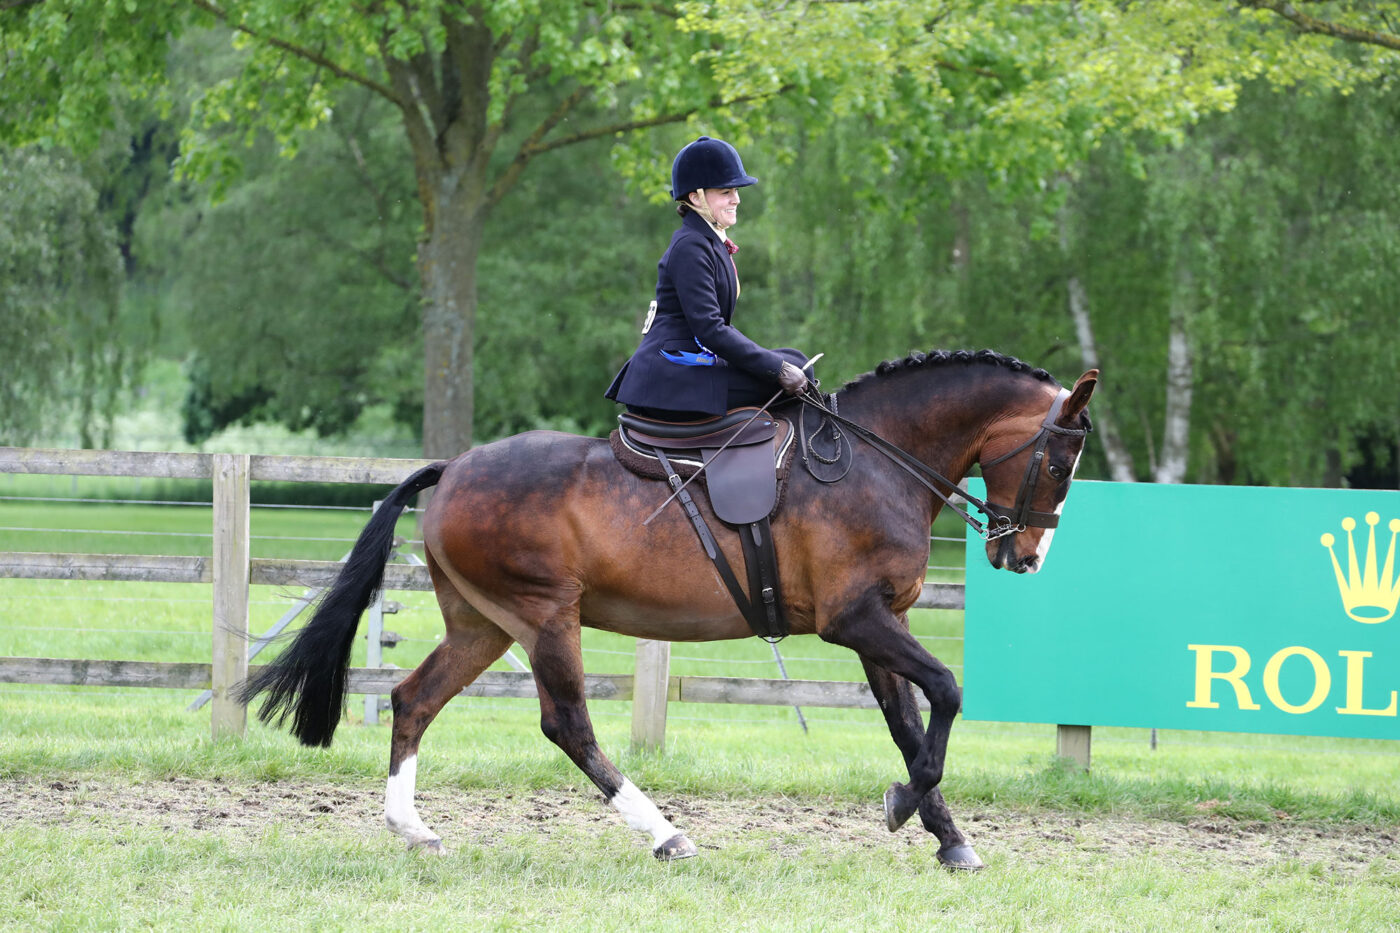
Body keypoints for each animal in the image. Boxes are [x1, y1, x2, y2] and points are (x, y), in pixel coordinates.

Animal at [240, 344, 1092, 868]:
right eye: (1059, 461)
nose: (1024, 556)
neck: (878, 459)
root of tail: (453, 469)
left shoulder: (885, 622)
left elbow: (909, 723)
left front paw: (947, 836)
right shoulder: (856, 620)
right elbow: (945, 691)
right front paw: (904, 804)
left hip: (483, 624)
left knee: (415, 698)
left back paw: (412, 826)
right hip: (546, 616)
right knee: (568, 723)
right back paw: (665, 833)